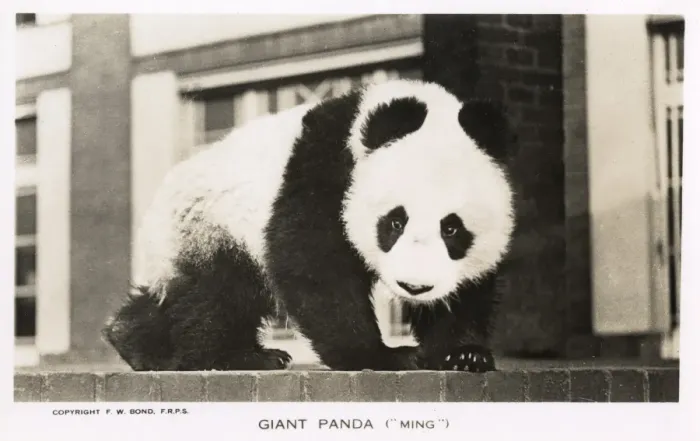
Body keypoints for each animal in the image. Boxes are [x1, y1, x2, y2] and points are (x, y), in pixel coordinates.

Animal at [103, 79, 516, 373]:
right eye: (394, 222)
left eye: (452, 229)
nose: (415, 286)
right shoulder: (325, 169)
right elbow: (314, 264)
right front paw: (381, 355)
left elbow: (467, 290)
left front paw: (463, 354)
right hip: (214, 224)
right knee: (217, 294)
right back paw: (238, 356)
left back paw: (134, 342)